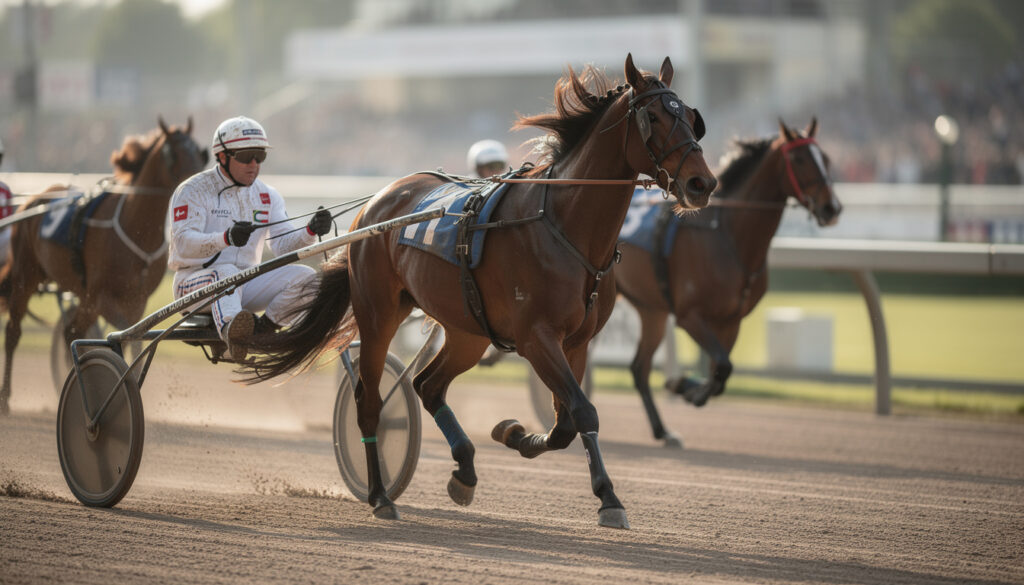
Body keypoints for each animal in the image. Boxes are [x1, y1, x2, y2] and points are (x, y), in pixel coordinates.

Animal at [0, 117, 207, 414]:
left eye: (199, 151)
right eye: (173, 153)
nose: (200, 178)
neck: (135, 227)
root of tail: (33, 199)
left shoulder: (136, 299)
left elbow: (134, 338)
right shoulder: (101, 295)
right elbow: (125, 334)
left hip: (80, 295)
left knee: (71, 330)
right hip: (26, 277)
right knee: (14, 332)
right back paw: (6, 398)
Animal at [247, 54, 717, 528]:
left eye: (691, 118)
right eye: (653, 117)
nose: (703, 184)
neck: (562, 225)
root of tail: (377, 202)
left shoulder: (577, 341)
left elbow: (566, 421)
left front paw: (516, 434)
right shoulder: (536, 338)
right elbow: (582, 411)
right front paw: (609, 497)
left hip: (466, 330)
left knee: (427, 385)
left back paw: (465, 470)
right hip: (379, 313)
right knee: (370, 400)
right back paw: (380, 494)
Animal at [614, 118, 841, 446]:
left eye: (825, 158)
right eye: (799, 159)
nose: (831, 208)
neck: (727, 235)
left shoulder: (731, 320)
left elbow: (721, 373)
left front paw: (684, 386)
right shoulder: (689, 315)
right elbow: (722, 365)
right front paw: (685, 387)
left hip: (650, 310)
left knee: (639, 367)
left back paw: (662, 431)